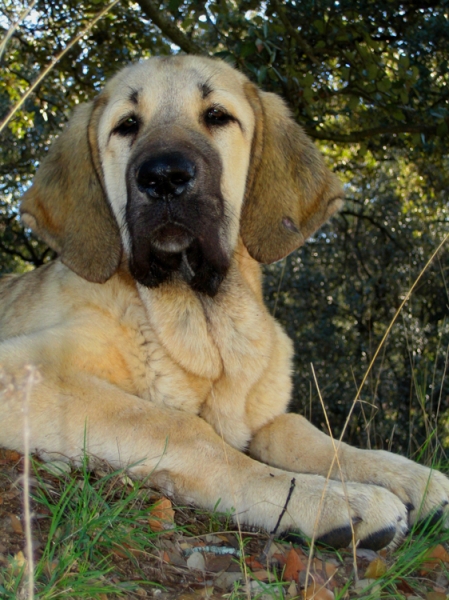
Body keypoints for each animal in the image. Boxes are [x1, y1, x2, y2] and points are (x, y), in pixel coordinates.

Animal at [0, 56, 448, 548]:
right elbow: (180, 426)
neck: (204, 327)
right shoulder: (26, 368)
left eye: (217, 116)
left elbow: (299, 429)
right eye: (127, 125)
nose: (164, 177)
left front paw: (406, 475)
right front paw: (331, 499)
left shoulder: (262, 417)